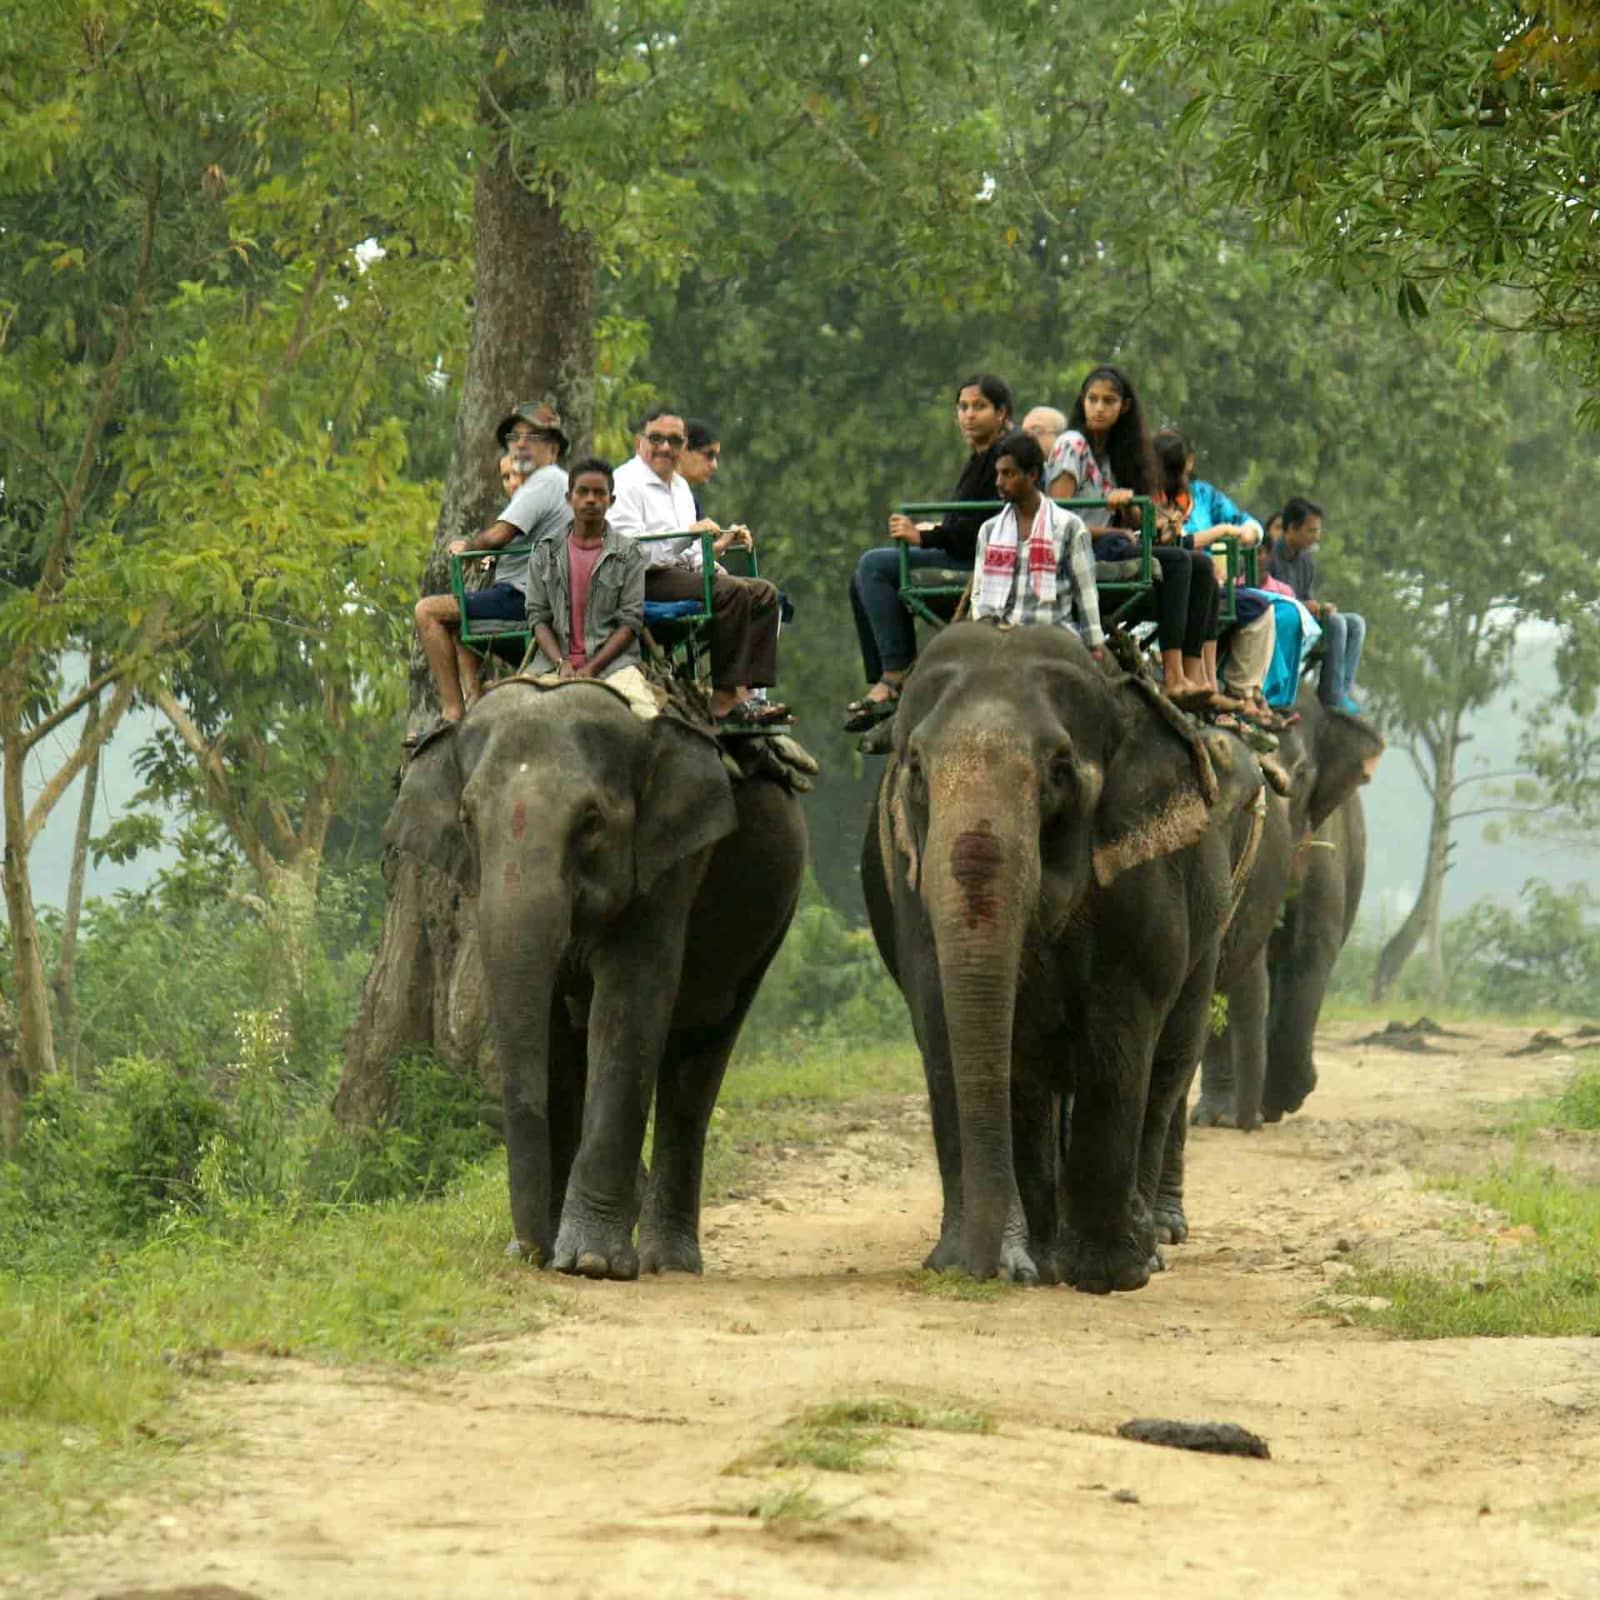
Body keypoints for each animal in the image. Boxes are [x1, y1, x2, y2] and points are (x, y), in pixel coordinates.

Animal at [386, 677, 807, 1279]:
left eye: (591, 822)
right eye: (466, 820)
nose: (530, 1251)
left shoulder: (670, 864)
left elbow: (629, 1005)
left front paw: (590, 1262)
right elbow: (549, 1031)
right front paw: (550, 1251)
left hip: (770, 920)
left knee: (698, 1060)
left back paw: (668, 1262)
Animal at [861, 621, 1266, 1292]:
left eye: (1058, 769)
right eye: (914, 767)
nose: (974, 1270)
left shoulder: (1141, 873)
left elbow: (1118, 1029)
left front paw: (1107, 1275)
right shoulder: (907, 877)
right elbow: (952, 1026)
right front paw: (1000, 1264)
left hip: (1212, 916)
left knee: (1168, 1066)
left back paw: (1147, 1244)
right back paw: (1048, 1255)